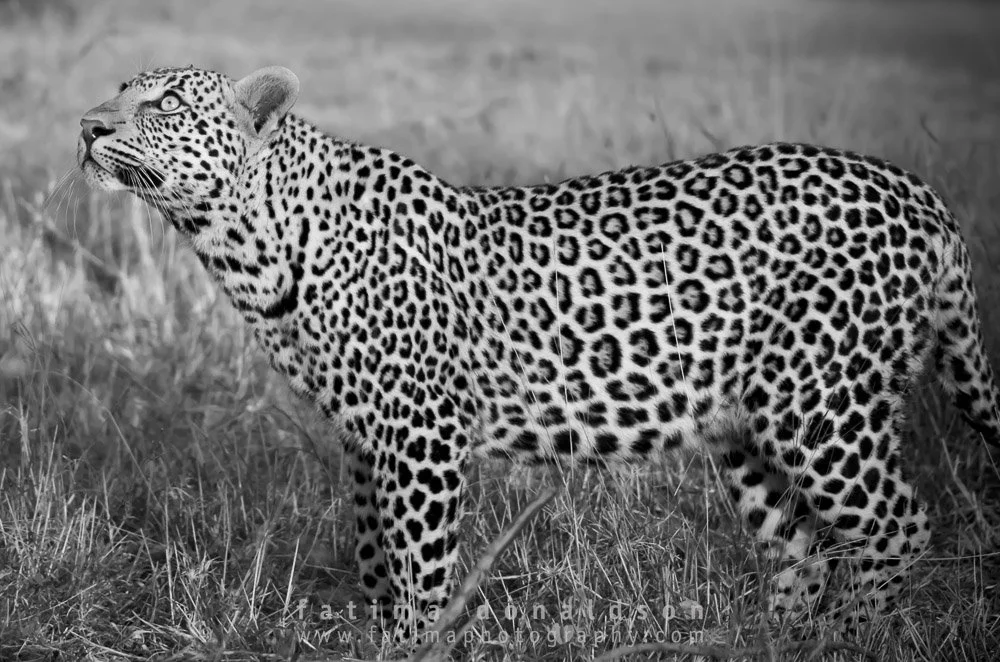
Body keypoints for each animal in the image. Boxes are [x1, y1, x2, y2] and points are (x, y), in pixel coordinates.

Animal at [78, 65, 1000, 636]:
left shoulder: (420, 434)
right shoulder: (364, 435)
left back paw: (850, 634)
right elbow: (376, 559)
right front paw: (381, 635)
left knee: (899, 527)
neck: (246, 238)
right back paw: (778, 643)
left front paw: (416, 642)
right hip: (748, 429)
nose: (85, 125)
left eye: (163, 104)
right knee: (802, 548)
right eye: (119, 94)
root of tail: (915, 189)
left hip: (825, 406)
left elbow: (420, 568)